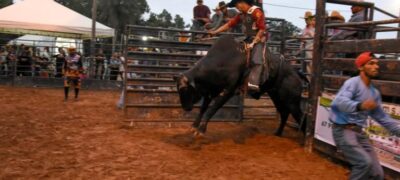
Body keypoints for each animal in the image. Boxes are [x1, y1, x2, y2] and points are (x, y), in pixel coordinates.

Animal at [172, 35, 306, 136]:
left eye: (186, 89)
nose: (185, 107)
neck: (222, 62)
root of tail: (296, 73)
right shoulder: (212, 90)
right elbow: (203, 108)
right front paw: (194, 126)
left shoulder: (228, 90)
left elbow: (213, 108)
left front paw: (201, 130)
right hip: (277, 98)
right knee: (284, 114)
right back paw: (278, 133)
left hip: (292, 101)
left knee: (300, 116)